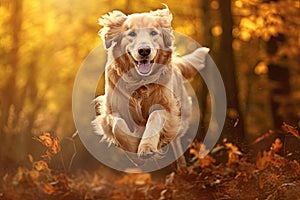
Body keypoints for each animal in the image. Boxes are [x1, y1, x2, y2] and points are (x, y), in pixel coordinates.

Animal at [92, 5, 209, 167]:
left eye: (153, 33)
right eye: (132, 33)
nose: (144, 50)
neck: (140, 83)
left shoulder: (166, 107)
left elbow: (155, 118)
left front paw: (146, 147)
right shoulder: (111, 110)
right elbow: (118, 127)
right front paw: (133, 148)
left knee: (175, 143)